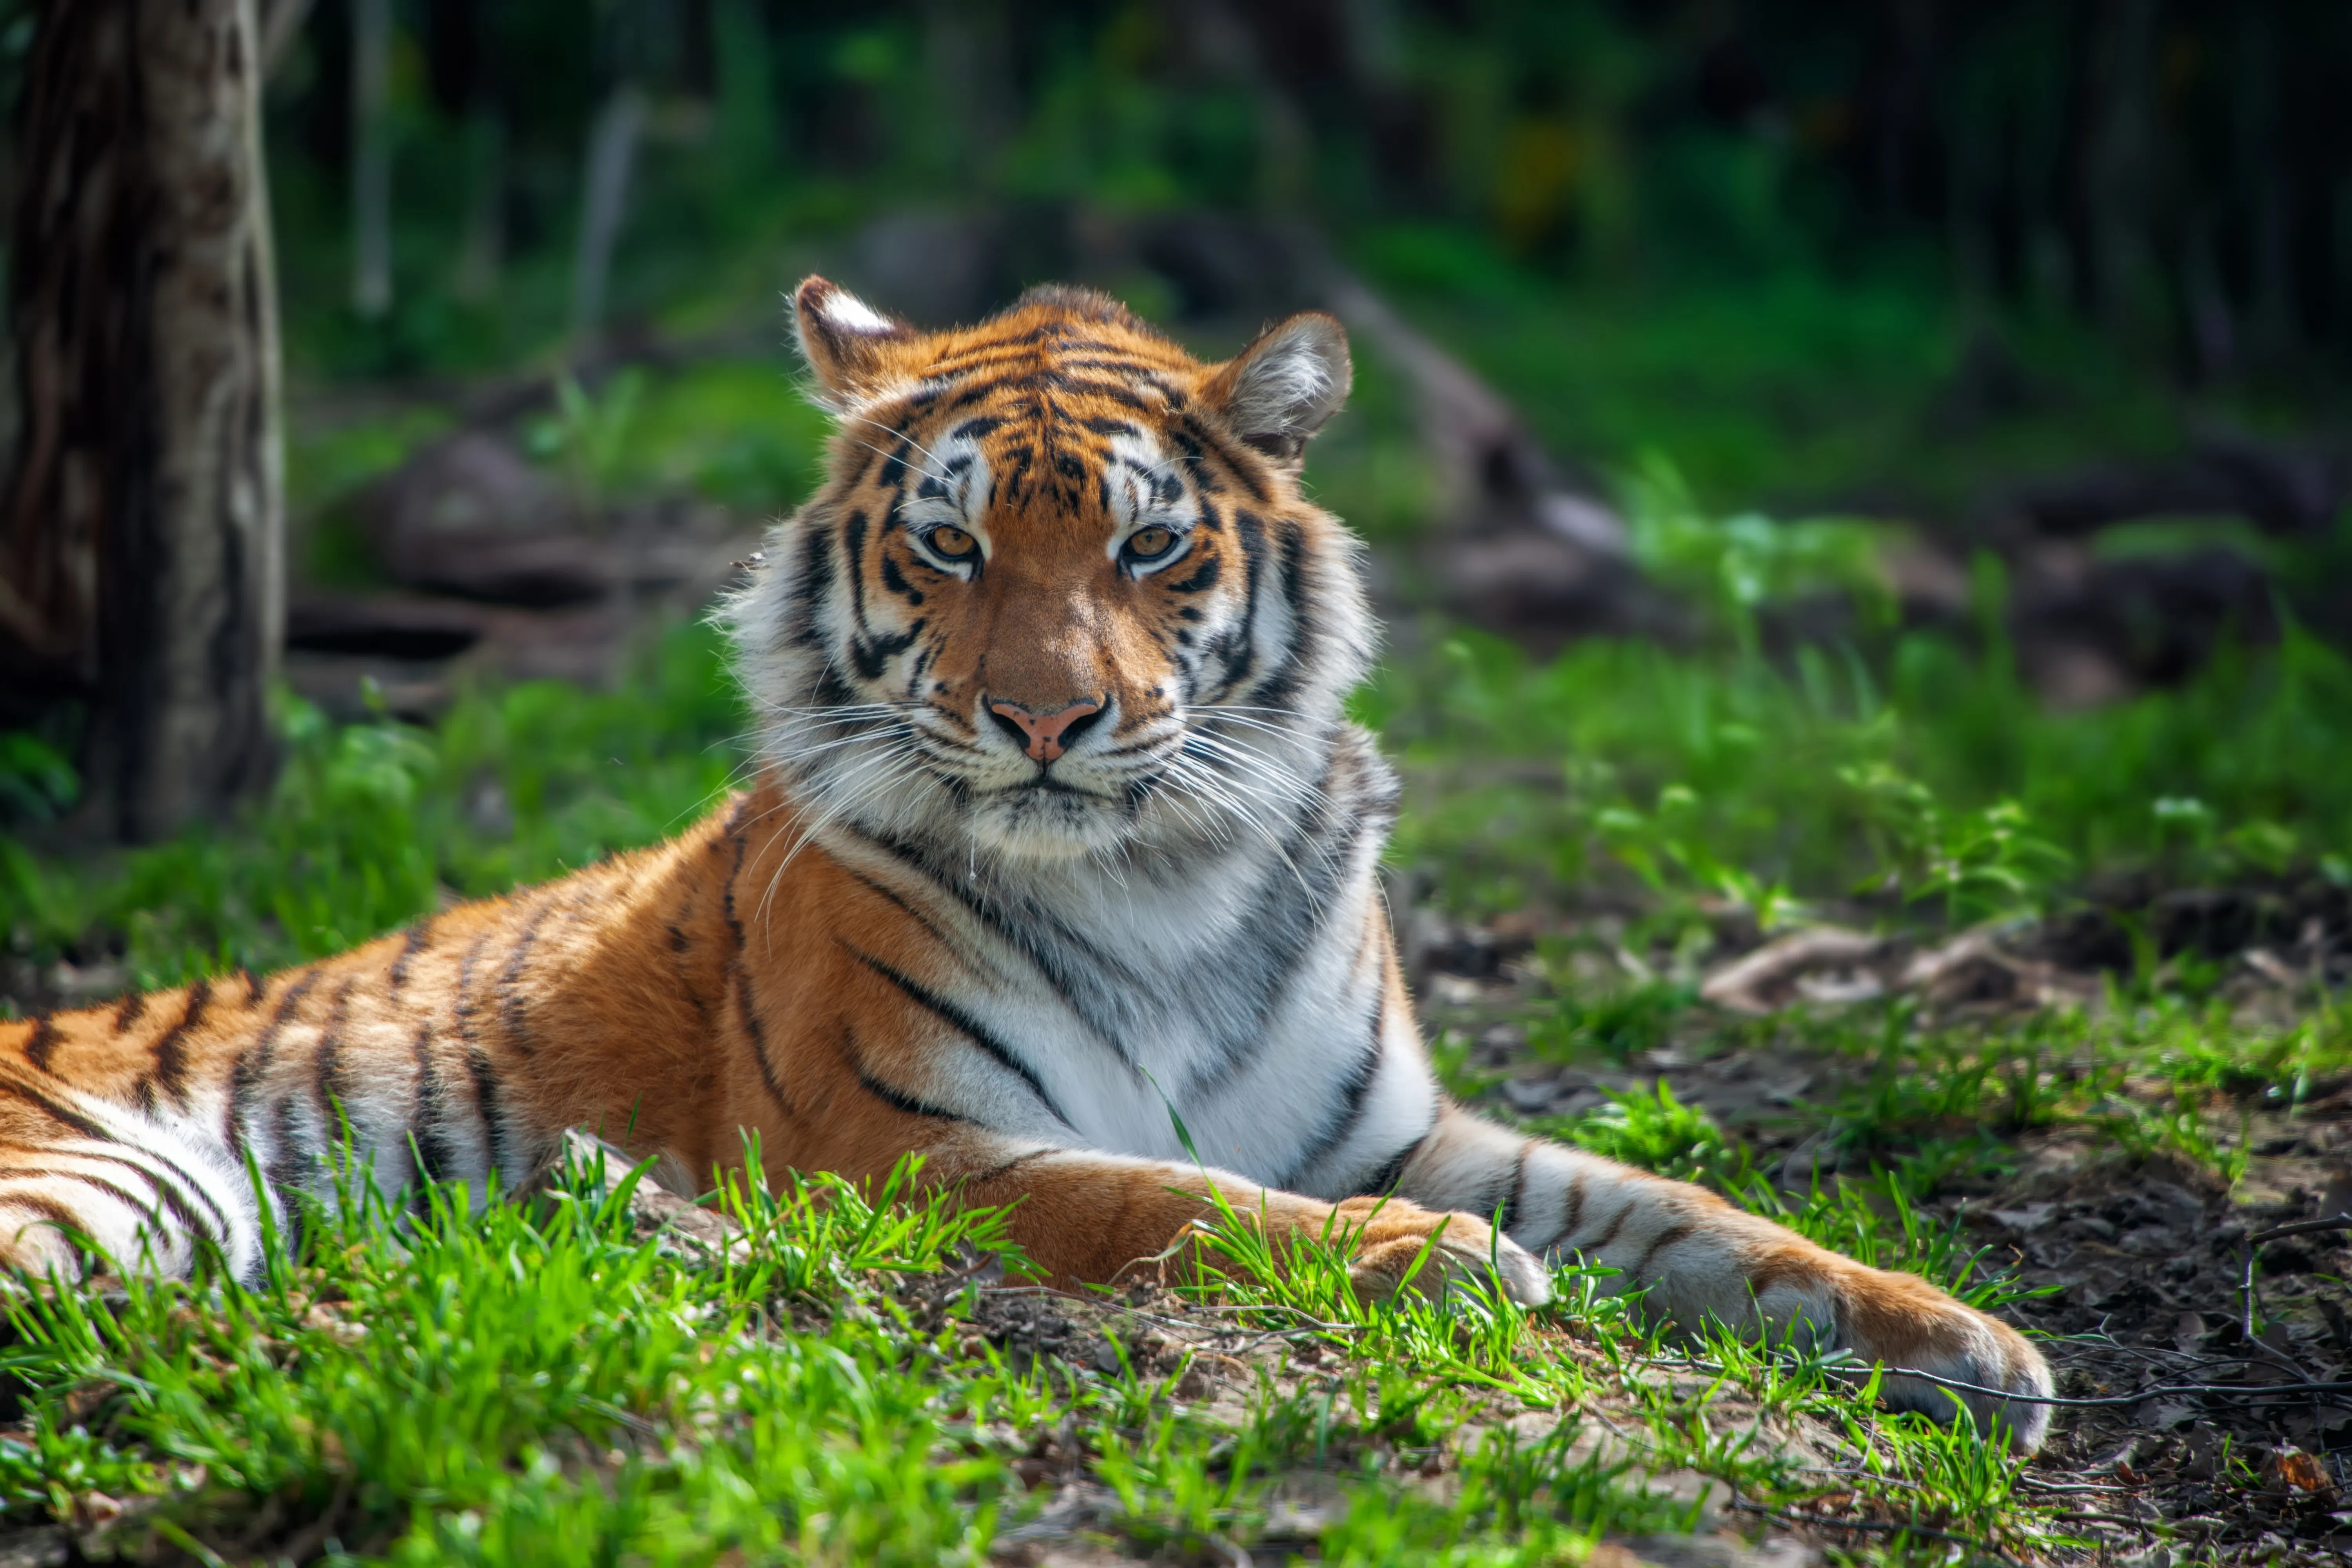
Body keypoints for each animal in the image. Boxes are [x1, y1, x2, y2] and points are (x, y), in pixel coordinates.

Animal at [0, 277, 2054, 1450]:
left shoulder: (1382, 1121)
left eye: (1147, 550)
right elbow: (1176, 1205)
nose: (1050, 720)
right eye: (952, 548)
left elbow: (1681, 1212)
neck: (1160, 877)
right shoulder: (899, 1145)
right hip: (101, 1196)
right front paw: (1440, 1267)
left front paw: (1959, 1338)